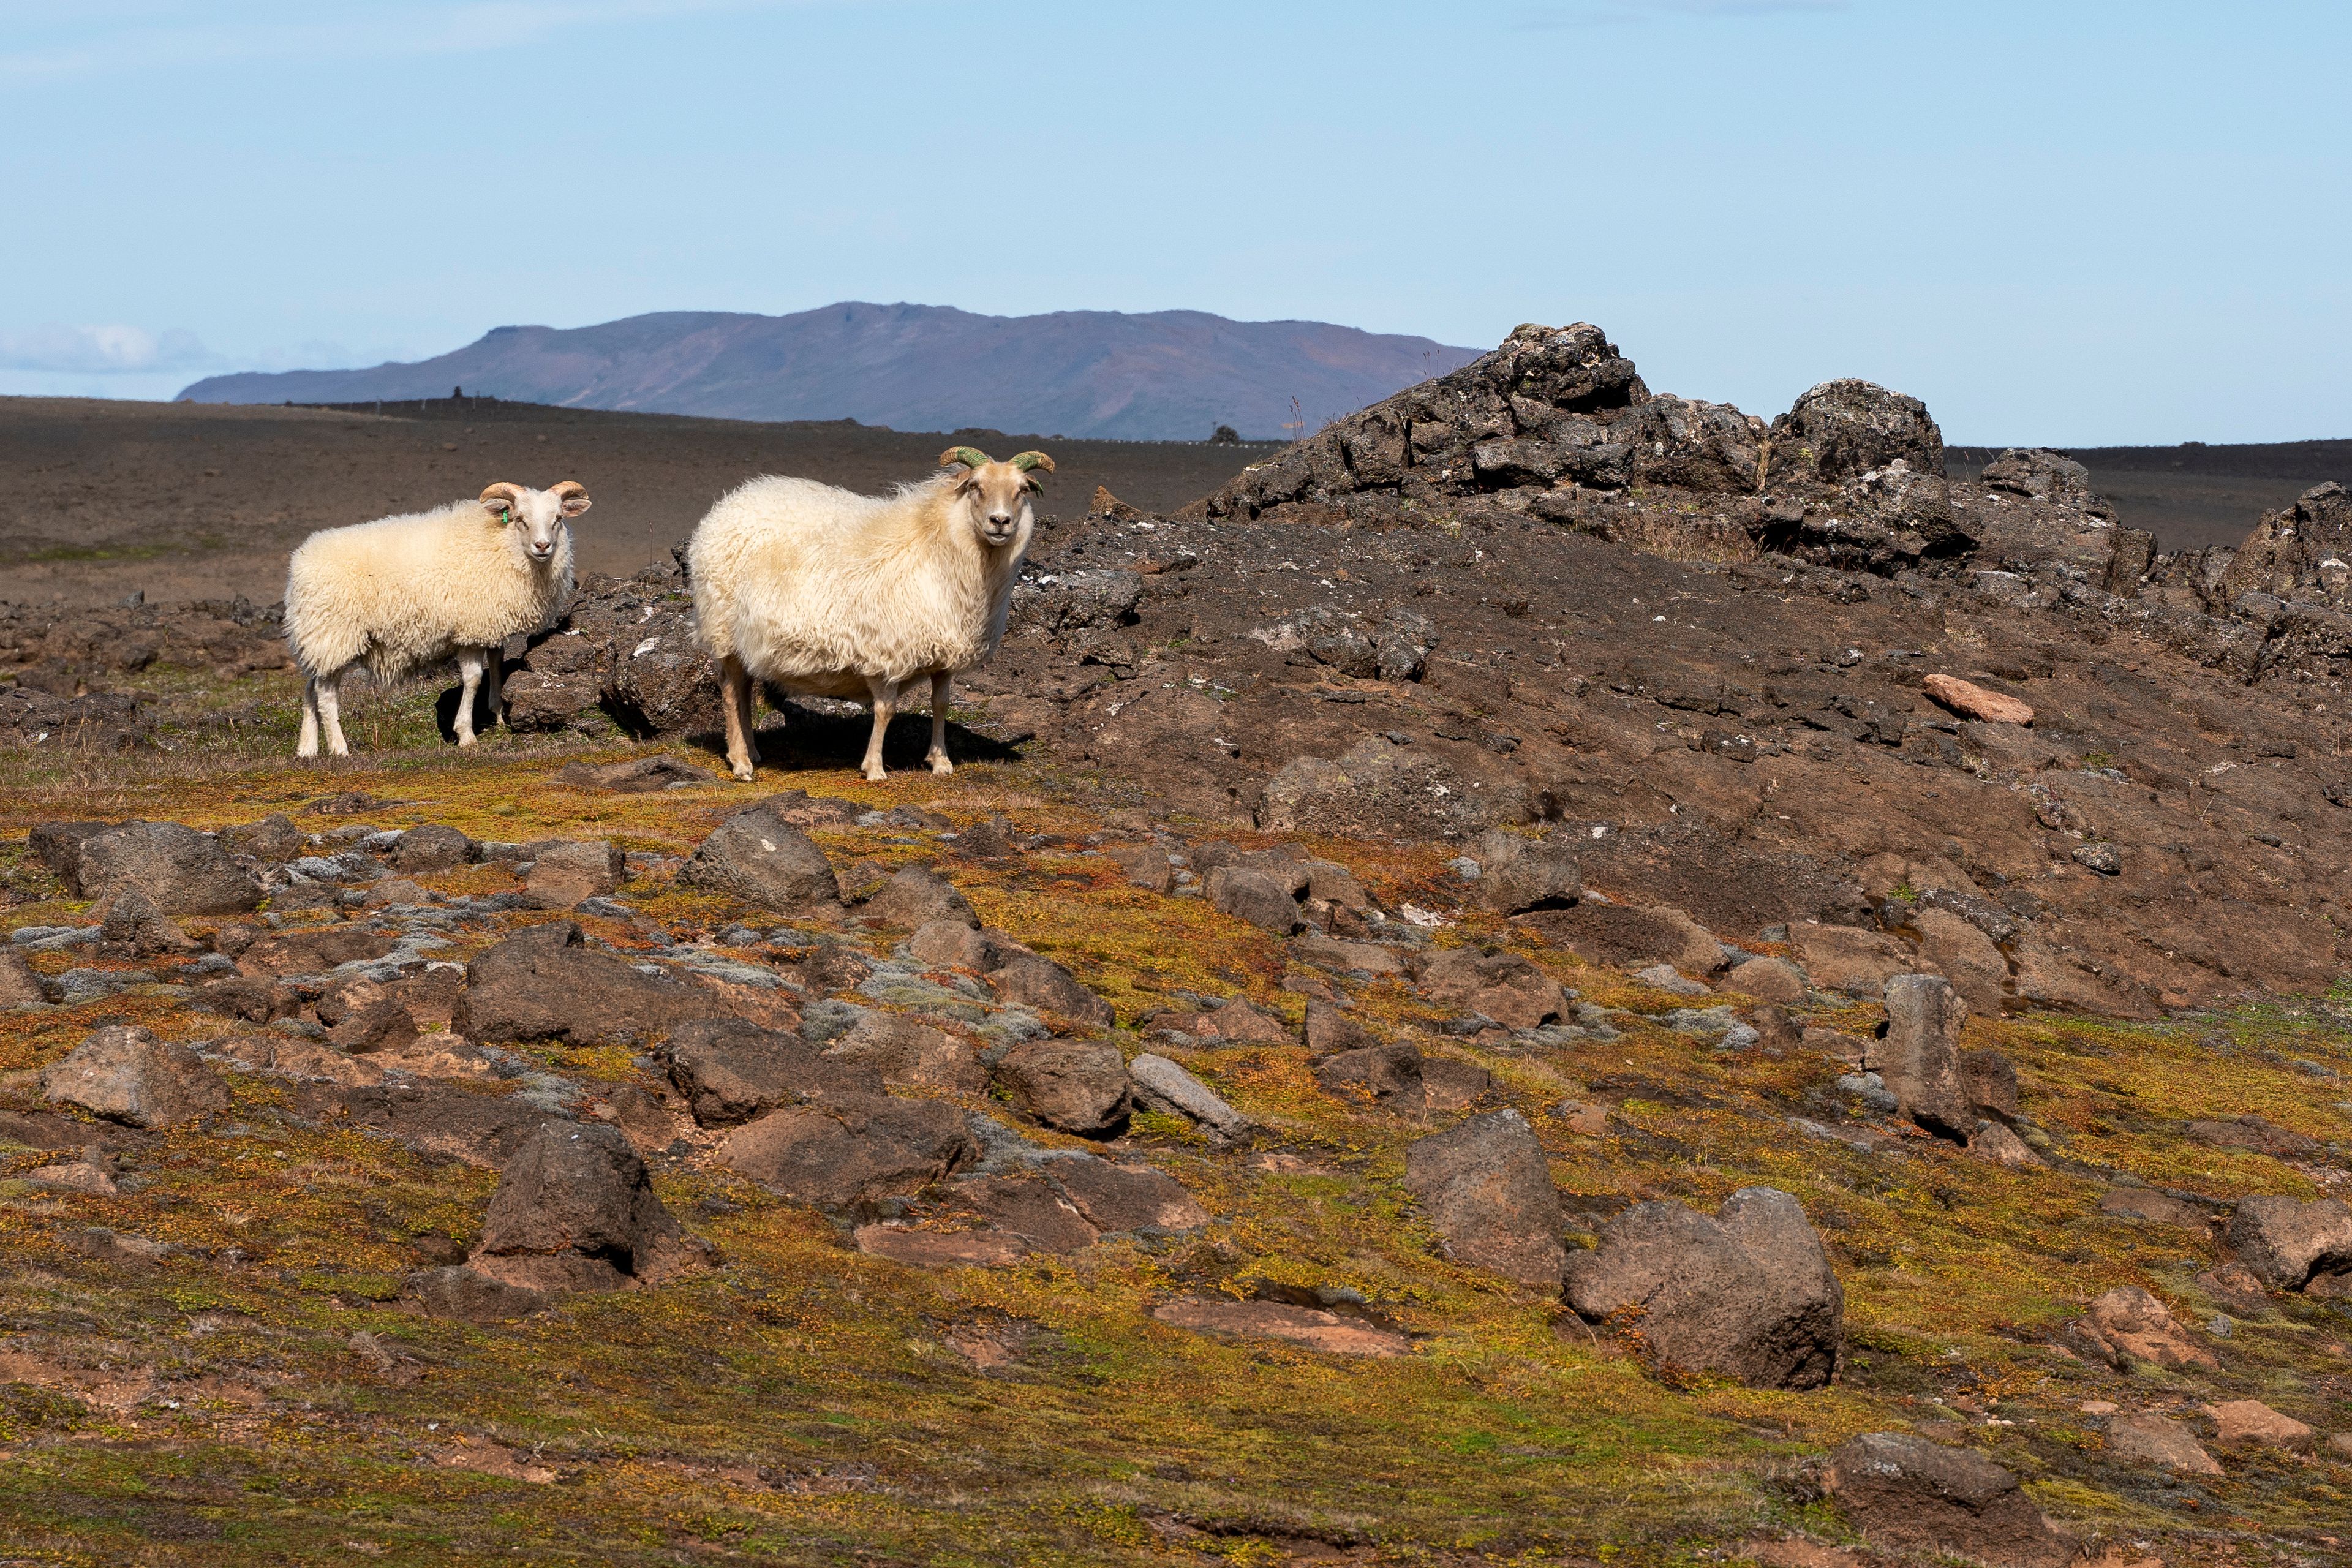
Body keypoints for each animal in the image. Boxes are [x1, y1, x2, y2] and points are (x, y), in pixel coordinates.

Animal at [279, 484, 588, 761]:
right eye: (520, 519)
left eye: (558, 518)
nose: (542, 546)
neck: (501, 545)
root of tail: (300, 562)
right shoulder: (471, 629)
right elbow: (473, 678)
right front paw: (466, 735)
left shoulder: (489, 623)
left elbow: (497, 661)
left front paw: (498, 714)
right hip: (335, 634)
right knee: (326, 694)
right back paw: (339, 748)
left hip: (319, 639)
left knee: (311, 689)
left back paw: (307, 749)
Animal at [682, 444, 1049, 780]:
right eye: (975, 486)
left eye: (1022, 490)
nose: (1000, 522)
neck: (938, 545)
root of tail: (724, 509)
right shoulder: (887, 653)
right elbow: (886, 711)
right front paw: (874, 768)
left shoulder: (944, 656)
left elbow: (941, 704)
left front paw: (941, 762)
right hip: (723, 628)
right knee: (731, 691)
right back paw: (741, 762)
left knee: (744, 689)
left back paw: (752, 751)